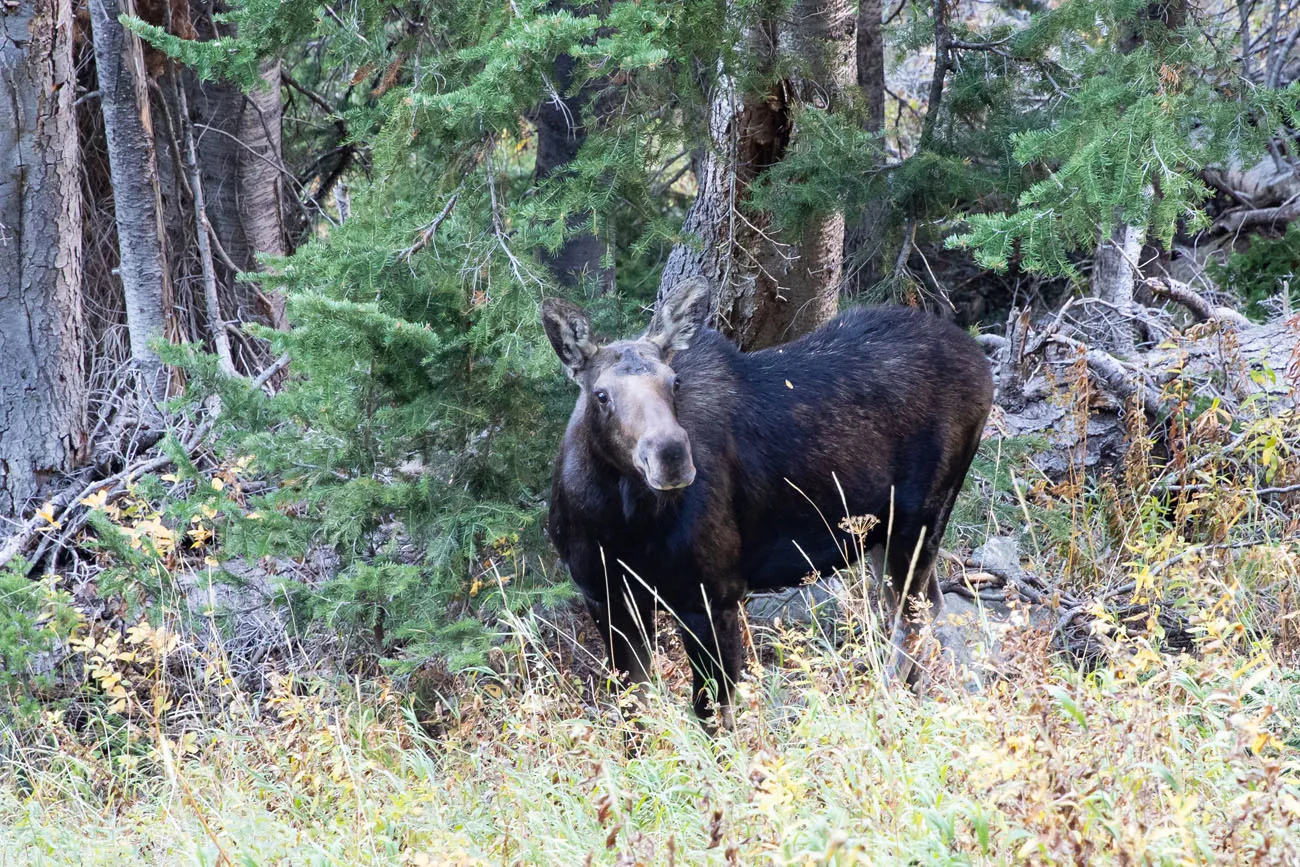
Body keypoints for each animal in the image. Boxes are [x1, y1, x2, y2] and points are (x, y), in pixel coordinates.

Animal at [543, 279, 987, 727]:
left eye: (675, 382)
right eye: (601, 394)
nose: (671, 456)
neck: (618, 524)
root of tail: (979, 358)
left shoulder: (714, 594)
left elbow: (713, 715)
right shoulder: (604, 597)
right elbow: (632, 711)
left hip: (921, 516)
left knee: (911, 617)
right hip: (880, 532)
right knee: (919, 605)